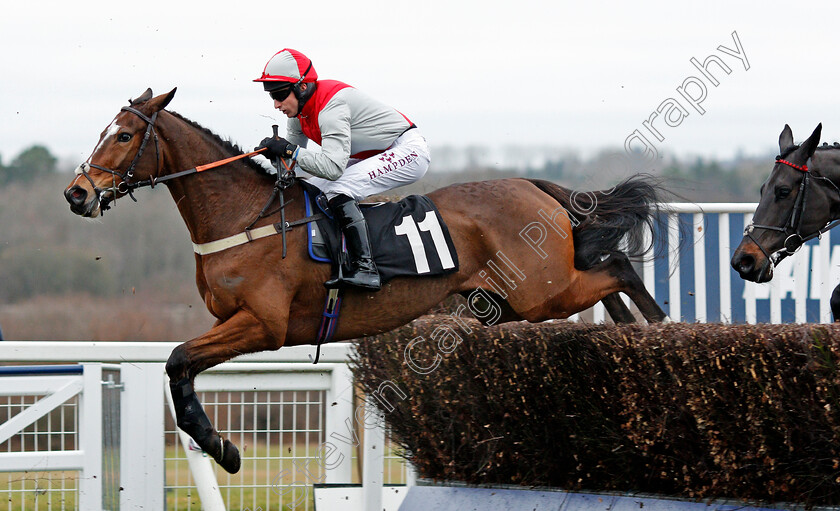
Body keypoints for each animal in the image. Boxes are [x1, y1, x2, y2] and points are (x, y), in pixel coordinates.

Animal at [64, 89, 668, 476]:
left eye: (123, 135)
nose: (77, 193)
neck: (246, 217)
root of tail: (531, 184)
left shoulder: (265, 325)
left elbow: (176, 360)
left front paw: (223, 449)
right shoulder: (230, 321)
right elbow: (181, 368)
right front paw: (222, 447)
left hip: (541, 291)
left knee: (617, 267)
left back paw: (659, 329)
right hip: (510, 300)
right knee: (607, 279)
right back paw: (627, 338)